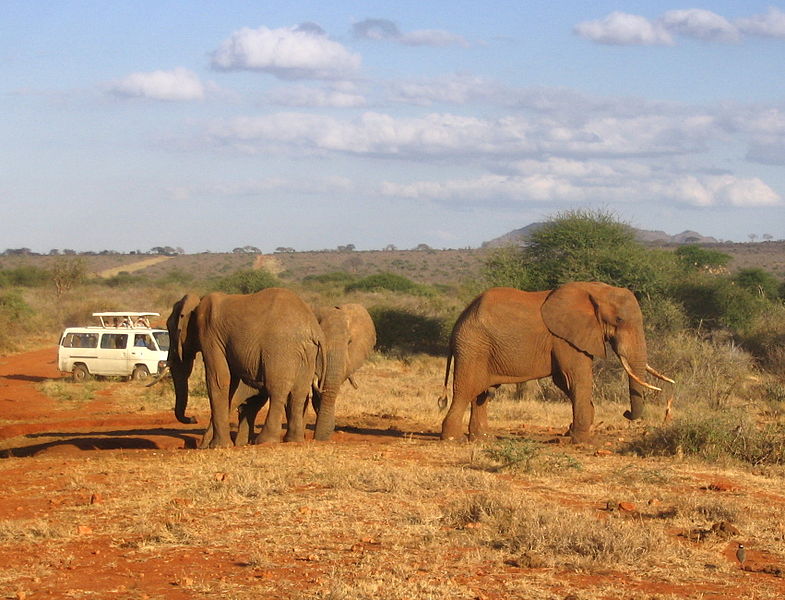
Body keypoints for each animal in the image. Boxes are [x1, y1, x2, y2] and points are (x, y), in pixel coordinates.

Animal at [167, 288, 324, 448]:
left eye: (170, 330)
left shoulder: (209, 334)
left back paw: (265, 441)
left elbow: (218, 379)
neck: (197, 302)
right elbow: (231, 384)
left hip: (281, 348)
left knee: (277, 390)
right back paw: (293, 440)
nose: (193, 418)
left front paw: (219, 446)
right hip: (307, 352)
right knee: (299, 393)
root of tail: (314, 328)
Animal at [438, 284, 672, 442]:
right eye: (620, 320)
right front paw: (584, 440)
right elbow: (577, 378)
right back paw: (454, 439)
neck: (596, 290)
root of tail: (458, 322)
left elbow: (564, 381)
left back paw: (483, 439)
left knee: (482, 393)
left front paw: (572, 432)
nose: (625, 413)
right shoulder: (565, 338)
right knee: (466, 389)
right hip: (473, 346)